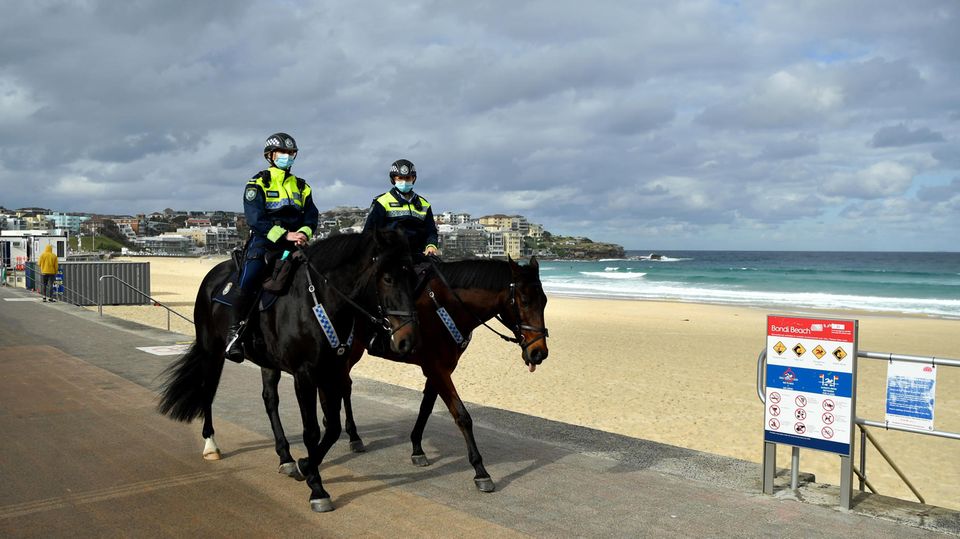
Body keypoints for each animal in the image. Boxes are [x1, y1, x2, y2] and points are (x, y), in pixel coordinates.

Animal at [158, 230, 420, 512]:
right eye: (388, 278)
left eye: (413, 278)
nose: (407, 340)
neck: (318, 301)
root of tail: (213, 276)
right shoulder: (304, 376)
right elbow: (312, 430)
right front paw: (317, 488)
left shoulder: (332, 371)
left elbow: (333, 427)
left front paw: (305, 464)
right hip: (212, 350)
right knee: (207, 391)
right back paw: (211, 444)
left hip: (267, 363)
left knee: (270, 400)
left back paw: (285, 457)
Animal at [255, 258, 552, 494]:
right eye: (525, 301)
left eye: (545, 301)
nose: (539, 352)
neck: (444, 306)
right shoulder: (437, 368)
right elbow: (462, 416)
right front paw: (480, 470)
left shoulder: (440, 368)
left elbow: (426, 408)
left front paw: (417, 448)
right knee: (340, 387)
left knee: (343, 386)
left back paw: (348, 433)